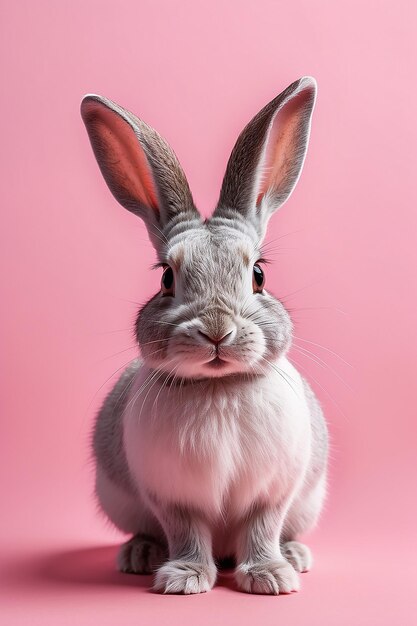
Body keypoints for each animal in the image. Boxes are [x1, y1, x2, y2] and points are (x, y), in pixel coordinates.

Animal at [80, 75, 328, 592]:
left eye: (259, 275)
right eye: (166, 279)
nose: (217, 331)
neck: (218, 387)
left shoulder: (272, 492)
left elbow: (262, 527)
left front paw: (271, 577)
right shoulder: (173, 497)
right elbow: (187, 532)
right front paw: (184, 578)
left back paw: (295, 556)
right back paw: (139, 554)